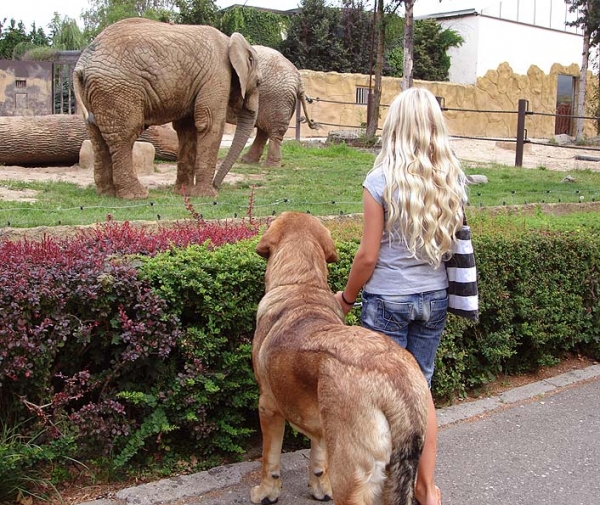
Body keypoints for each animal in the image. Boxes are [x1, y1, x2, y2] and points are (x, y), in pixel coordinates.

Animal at [72, 17, 260, 199]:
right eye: (258, 83)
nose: (217, 185)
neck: (231, 41)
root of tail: (82, 63)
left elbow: (187, 129)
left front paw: (184, 193)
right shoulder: (217, 75)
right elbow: (210, 124)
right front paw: (207, 195)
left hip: (96, 91)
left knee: (96, 135)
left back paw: (107, 194)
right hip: (117, 89)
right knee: (125, 135)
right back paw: (137, 196)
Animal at [216, 45, 318, 181]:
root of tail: (298, 78)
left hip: (277, 98)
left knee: (274, 131)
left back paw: (270, 166)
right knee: (264, 130)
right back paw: (247, 161)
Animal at [253, 211, 432, 502]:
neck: (301, 283)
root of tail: (396, 379)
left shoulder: (268, 407)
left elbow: (270, 460)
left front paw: (266, 492)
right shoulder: (320, 422)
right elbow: (318, 457)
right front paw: (319, 487)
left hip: (351, 480)